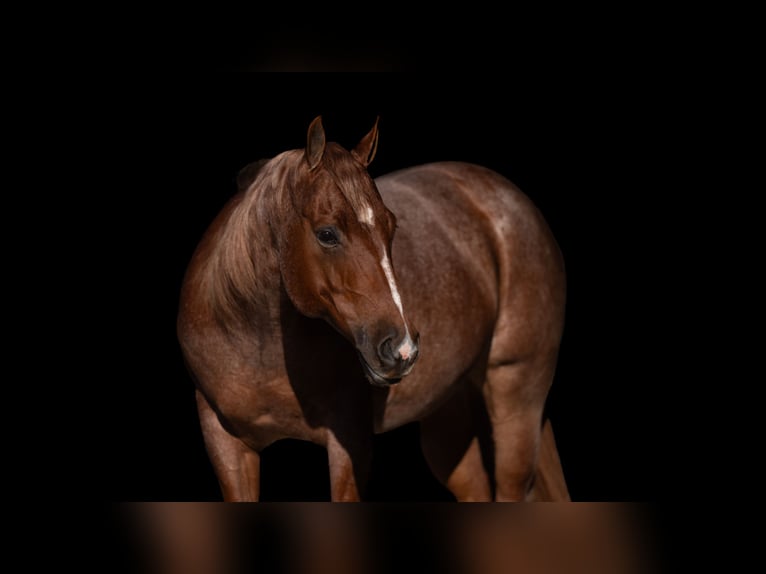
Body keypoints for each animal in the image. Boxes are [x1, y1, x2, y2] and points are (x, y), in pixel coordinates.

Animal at [177, 117, 568, 504]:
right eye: (327, 234)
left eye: (391, 226)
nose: (402, 348)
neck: (253, 342)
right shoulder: (226, 445)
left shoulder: (349, 442)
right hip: (449, 414)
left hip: (515, 395)